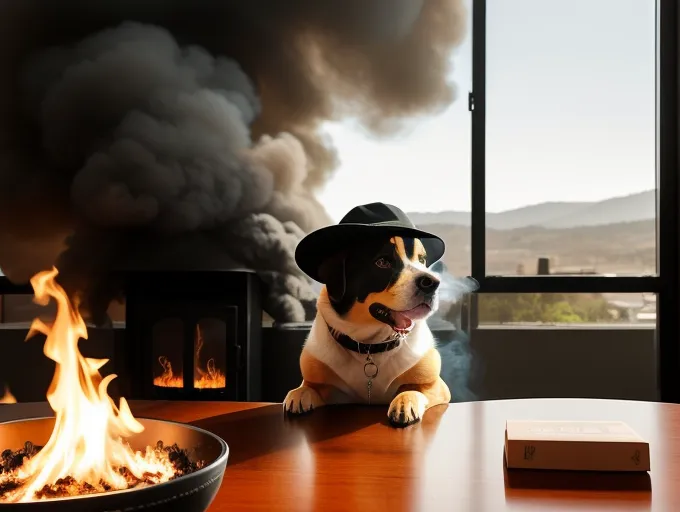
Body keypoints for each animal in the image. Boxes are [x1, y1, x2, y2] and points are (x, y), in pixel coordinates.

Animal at [286, 213, 452, 428]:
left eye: (422, 260)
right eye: (383, 262)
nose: (432, 282)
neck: (370, 345)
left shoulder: (436, 384)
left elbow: (415, 389)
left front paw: (404, 402)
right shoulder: (324, 383)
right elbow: (309, 387)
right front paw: (299, 393)